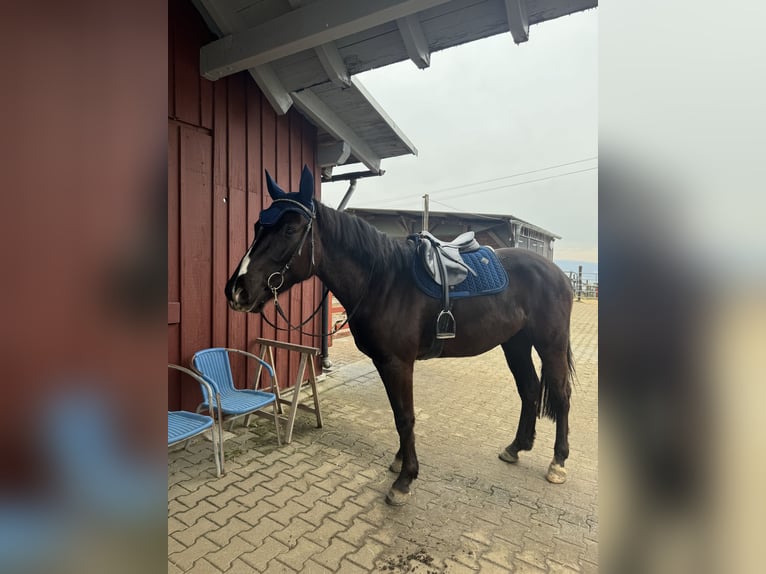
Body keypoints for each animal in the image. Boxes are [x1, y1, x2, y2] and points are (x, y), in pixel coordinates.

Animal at [225, 166, 575, 506]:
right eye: (257, 225)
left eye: (290, 229)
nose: (237, 290)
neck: (383, 280)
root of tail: (558, 273)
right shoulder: (385, 363)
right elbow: (397, 414)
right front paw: (399, 462)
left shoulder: (398, 363)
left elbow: (405, 417)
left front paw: (404, 480)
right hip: (515, 344)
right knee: (529, 389)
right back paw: (516, 447)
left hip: (550, 345)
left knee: (561, 394)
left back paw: (558, 462)